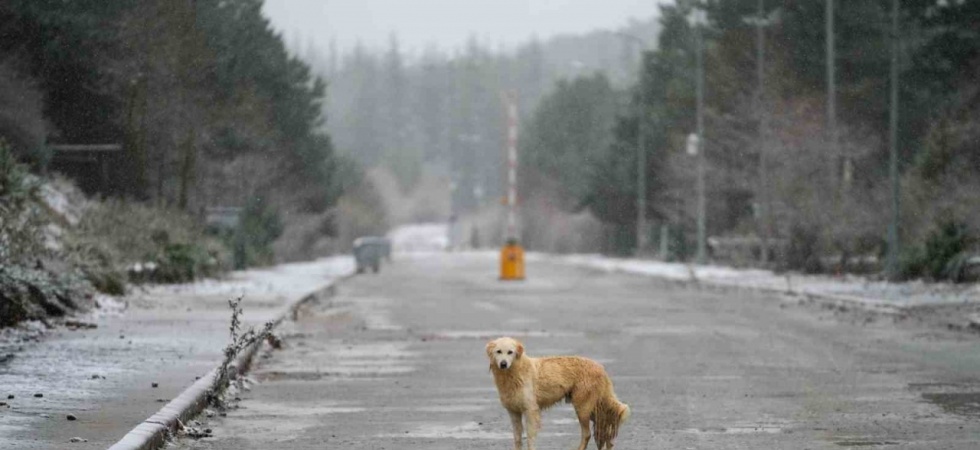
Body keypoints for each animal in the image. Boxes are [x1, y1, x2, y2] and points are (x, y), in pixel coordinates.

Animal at [482, 338, 628, 450]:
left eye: (510, 352)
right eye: (498, 352)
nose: (503, 364)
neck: (514, 374)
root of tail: (600, 367)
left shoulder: (531, 410)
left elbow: (530, 437)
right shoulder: (513, 412)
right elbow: (517, 438)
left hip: (583, 408)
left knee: (588, 433)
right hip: (592, 409)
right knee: (606, 426)